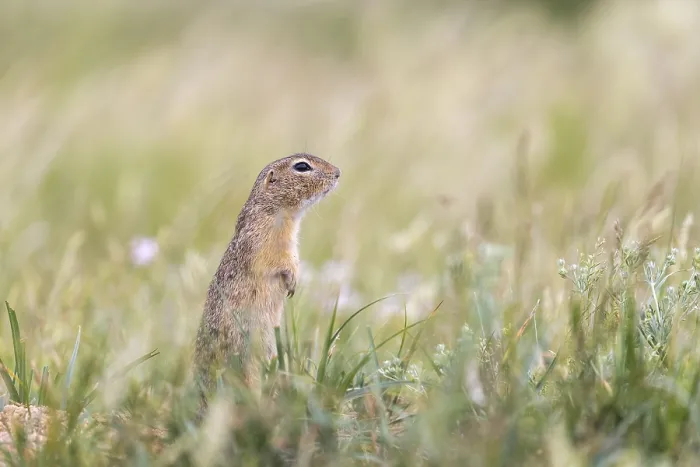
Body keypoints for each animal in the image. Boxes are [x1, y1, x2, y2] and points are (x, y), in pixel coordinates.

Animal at [192, 153, 341, 416]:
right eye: (302, 166)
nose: (338, 173)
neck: (276, 211)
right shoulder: (262, 242)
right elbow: (277, 262)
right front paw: (291, 279)